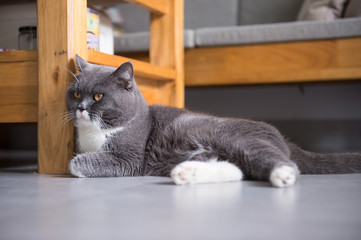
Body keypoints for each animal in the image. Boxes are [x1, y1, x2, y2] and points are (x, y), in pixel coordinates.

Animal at [65, 56, 360, 188]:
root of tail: (283, 139)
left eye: (98, 96)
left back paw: (283, 175)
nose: (81, 108)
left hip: (238, 138)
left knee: (275, 162)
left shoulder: (130, 157)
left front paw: (77, 164)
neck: (94, 133)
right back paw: (185, 173)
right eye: (76, 94)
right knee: (238, 170)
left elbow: (79, 163)